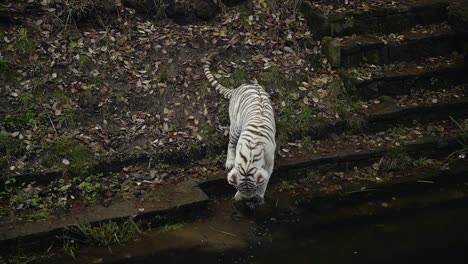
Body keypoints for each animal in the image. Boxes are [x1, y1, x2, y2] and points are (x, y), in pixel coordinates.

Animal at [203, 55, 276, 210]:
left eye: (254, 189)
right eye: (238, 188)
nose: (247, 201)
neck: (249, 161)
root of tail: (240, 86)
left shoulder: (269, 163)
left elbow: (265, 179)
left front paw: (260, 196)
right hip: (235, 127)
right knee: (230, 143)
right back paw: (229, 162)